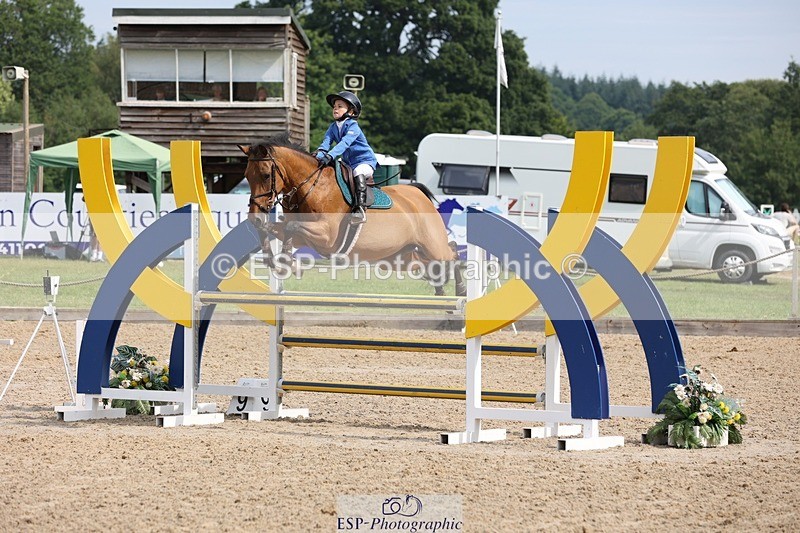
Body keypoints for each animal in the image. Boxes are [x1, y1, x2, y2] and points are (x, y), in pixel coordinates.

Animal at [239, 133, 465, 296]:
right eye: (247, 176)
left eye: (265, 175)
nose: (254, 216)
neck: (311, 187)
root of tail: (418, 194)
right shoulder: (305, 237)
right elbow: (275, 228)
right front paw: (274, 260)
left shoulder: (326, 235)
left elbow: (289, 228)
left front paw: (288, 263)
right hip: (401, 257)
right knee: (431, 262)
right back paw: (439, 288)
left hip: (433, 246)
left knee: (452, 252)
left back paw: (460, 290)